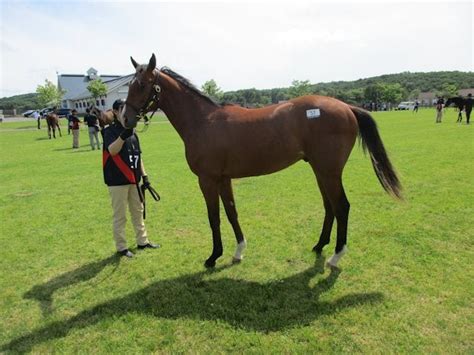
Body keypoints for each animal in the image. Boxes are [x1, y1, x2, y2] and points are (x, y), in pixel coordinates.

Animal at [120, 53, 402, 270]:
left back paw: (335, 256)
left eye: (142, 85)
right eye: (129, 85)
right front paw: (238, 251)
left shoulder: (207, 180)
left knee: (341, 207)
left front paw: (213, 257)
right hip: (321, 171)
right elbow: (231, 212)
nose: (124, 118)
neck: (203, 121)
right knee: (330, 206)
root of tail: (346, 107)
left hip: (329, 172)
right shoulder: (223, 179)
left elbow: (214, 217)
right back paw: (320, 245)